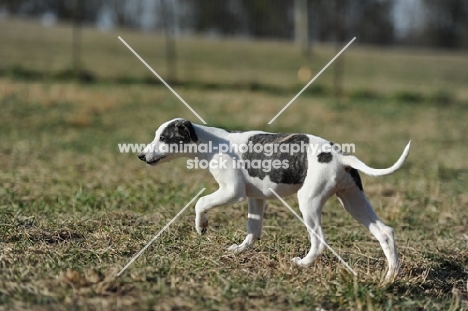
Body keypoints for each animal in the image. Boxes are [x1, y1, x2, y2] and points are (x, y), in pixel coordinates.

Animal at [138, 118, 410, 282]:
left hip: (309, 202)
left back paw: (303, 263)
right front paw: (239, 250)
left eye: (164, 138)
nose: (141, 155)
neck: (210, 142)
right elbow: (253, 230)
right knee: (385, 232)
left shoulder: (232, 191)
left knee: (319, 240)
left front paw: (201, 226)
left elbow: (200, 203)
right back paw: (390, 276)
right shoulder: (255, 198)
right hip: (353, 201)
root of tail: (340, 156)